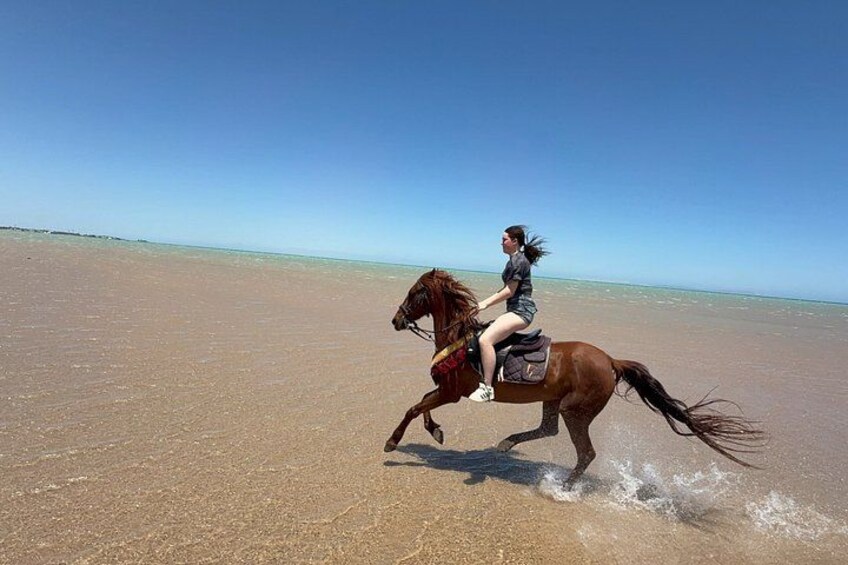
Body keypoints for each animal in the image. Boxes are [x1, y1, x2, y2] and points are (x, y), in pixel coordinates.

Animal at [386, 269, 765, 489]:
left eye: (415, 292)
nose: (396, 320)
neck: (460, 339)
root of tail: (611, 361)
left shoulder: (452, 392)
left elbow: (413, 408)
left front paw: (393, 442)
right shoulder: (445, 389)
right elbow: (422, 406)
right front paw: (435, 432)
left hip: (576, 410)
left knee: (585, 453)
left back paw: (565, 489)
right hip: (554, 401)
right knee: (548, 429)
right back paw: (508, 443)